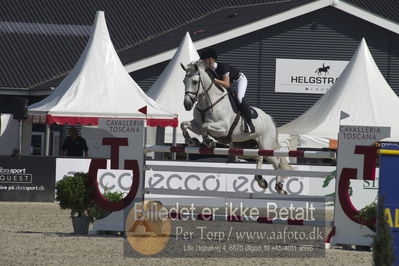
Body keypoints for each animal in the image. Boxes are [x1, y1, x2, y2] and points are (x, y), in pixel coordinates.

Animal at [180, 60, 290, 193]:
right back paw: (261, 181)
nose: (187, 105)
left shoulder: (223, 128)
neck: (208, 102)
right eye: (184, 81)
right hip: (245, 148)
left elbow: (205, 127)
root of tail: (269, 119)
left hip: (266, 145)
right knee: (259, 157)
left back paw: (279, 187)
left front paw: (208, 142)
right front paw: (191, 141)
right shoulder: (196, 124)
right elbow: (184, 124)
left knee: (276, 162)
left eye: (195, 82)